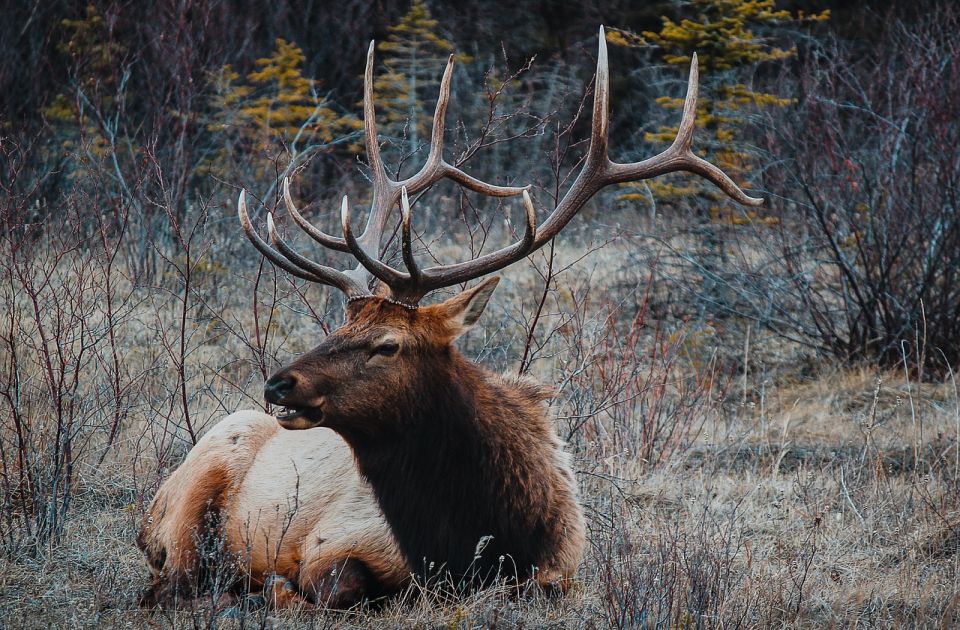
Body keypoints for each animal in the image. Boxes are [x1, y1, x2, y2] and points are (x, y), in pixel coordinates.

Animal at [137, 28, 764, 612]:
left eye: (387, 344)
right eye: (338, 329)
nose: (279, 383)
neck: (473, 537)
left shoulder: (559, 569)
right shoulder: (330, 541)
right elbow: (331, 586)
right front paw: (272, 587)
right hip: (194, 491)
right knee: (169, 584)